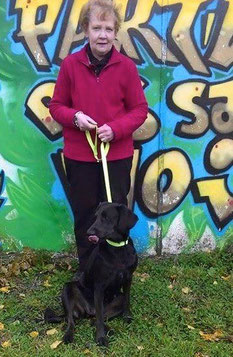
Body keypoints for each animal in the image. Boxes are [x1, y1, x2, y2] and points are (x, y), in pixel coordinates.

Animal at [44, 203, 137, 344]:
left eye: (106, 217)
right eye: (96, 216)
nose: (89, 232)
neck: (117, 248)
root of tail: (88, 311)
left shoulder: (128, 279)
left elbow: (127, 301)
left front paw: (127, 317)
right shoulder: (99, 286)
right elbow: (99, 317)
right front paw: (100, 338)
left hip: (117, 299)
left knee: (95, 319)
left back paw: (109, 329)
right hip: (68, 288)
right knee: (73, 320)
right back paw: (68, 335)